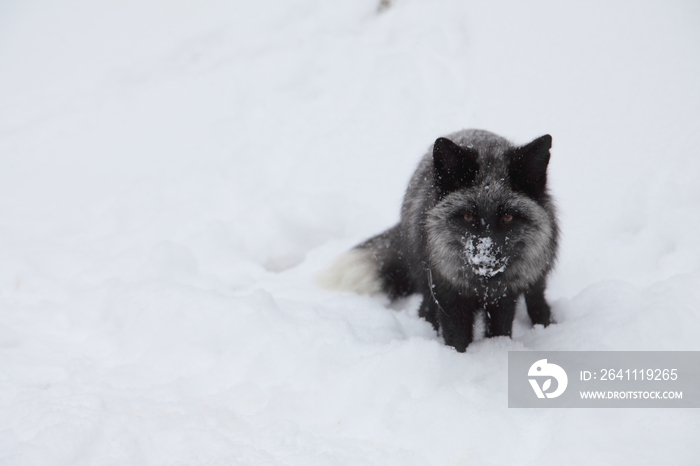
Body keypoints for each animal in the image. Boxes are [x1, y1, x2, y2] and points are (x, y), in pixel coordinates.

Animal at [322, 129, 556, 352]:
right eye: (467, 217)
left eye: (507, 217)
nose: (485, 260)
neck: (481, 287)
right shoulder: (448, 294)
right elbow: (457, 339)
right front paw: (456, 358)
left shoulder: (504, 298)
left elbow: (501, 331)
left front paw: (498, 349)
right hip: (426, 280)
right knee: (425, 309)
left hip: (536, 267)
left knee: (536, 296)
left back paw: (546, 323)